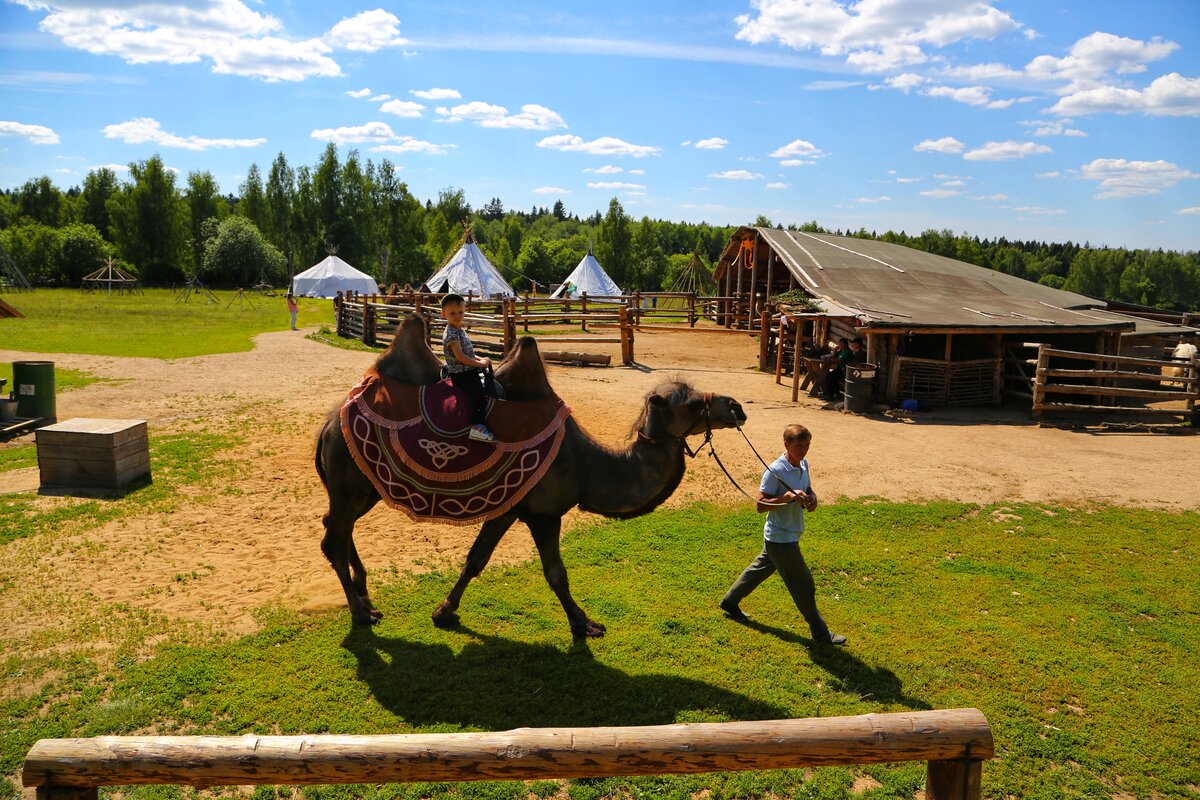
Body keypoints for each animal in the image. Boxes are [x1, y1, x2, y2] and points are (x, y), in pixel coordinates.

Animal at [319, 311, 748, 638]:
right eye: (691, 404)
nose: (737, 408)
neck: (588, 465)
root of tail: (327, 424)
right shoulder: (545, 513)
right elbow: (556, 573)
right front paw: (585, 624)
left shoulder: (508, 507)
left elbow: (475, 560)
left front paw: (444, 611)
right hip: (350, 482)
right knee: (334, 539)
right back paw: (361, 612)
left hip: (363, 488)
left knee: (334, 529)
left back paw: (366, 597)